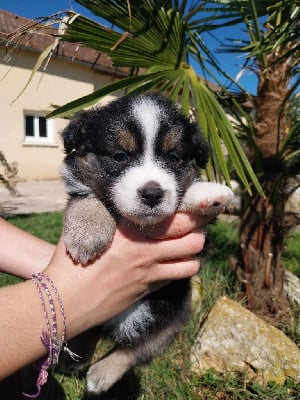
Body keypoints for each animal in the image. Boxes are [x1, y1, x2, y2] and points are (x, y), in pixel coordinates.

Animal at [60, 93, 232, 394]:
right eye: (119, 156)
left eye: (173, 158)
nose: (152, 194)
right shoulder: (80, 188)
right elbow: (87, 197)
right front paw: (87, 233)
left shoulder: (201, 243)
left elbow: (183, 194)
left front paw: (207, 193)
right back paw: (75, 359)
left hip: (172, 320)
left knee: (133, 350)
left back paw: (100, 375)